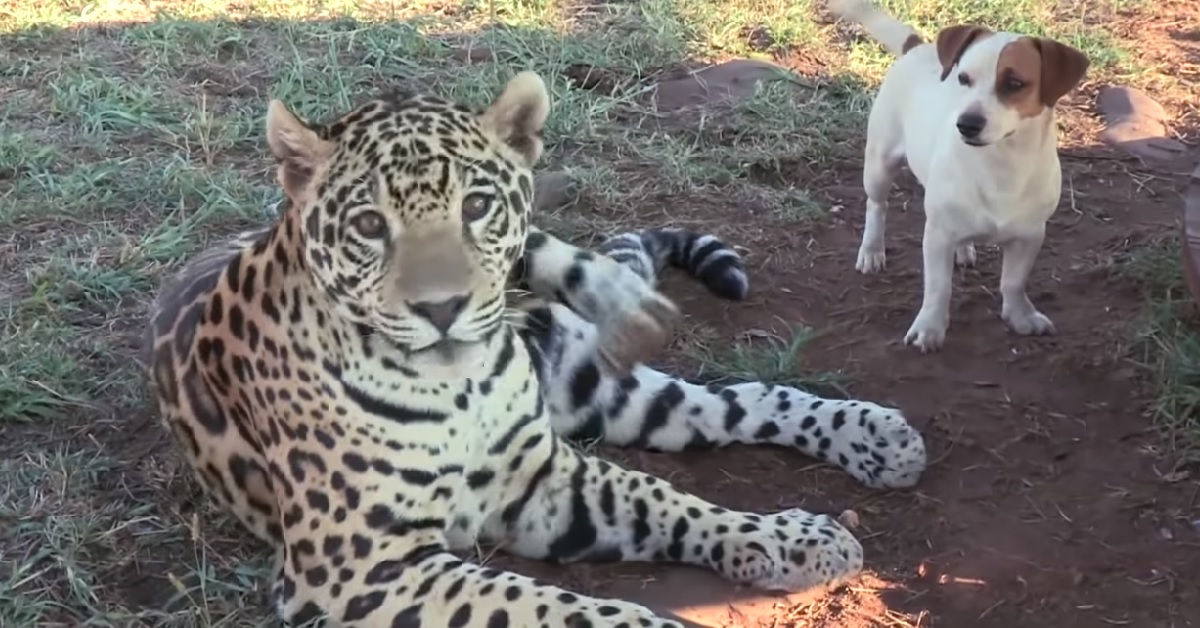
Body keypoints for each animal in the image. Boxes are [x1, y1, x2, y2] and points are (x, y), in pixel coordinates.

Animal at [835, 0, 1089, 353]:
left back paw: (964, 250)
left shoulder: (1030, 236)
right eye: (963, 78)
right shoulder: (937, 235)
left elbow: (1014, 282)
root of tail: (918, 47)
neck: (1001, 164)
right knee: (877, 206)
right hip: (879, 164)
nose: (967, 124)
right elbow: (938, 287)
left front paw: (1020, 316)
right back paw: (872, 250)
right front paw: (929, 328)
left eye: (1014, 84)